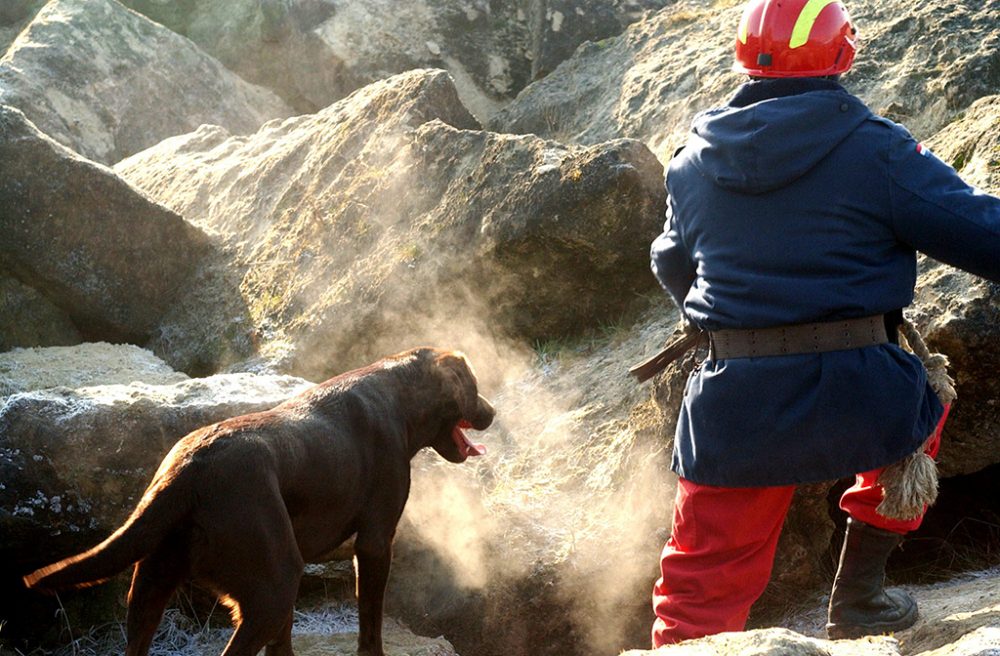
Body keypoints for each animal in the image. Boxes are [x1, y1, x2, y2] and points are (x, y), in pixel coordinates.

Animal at [21, 346, 494, 652]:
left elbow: (283, 645)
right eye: (473, 385)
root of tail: (186, 472)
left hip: (153, 586)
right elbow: (370, 623)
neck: (398, 392)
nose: (492, 412)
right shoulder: (375, 542)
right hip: (274, 585)